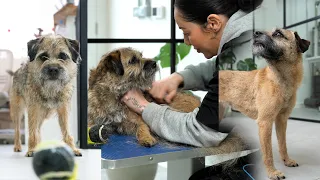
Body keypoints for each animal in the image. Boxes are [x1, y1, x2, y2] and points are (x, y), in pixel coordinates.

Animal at [220, 28, 310, 179]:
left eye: (278, 33)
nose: (255, 33)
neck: (280, 79)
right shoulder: (265, 123)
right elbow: (268, 153)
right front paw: (272, 172)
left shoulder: (281, 120)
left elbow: (283, 144)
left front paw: (287, 161)